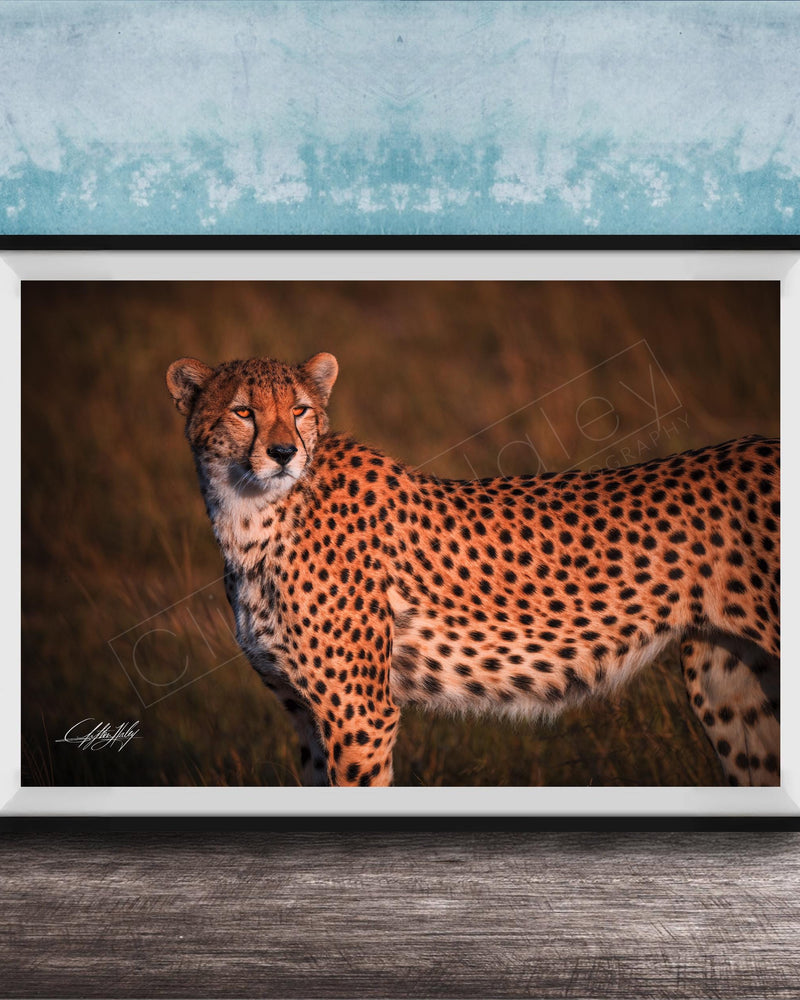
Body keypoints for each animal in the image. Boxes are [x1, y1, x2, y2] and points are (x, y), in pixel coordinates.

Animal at [166, 351, 780, 787]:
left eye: (299, 410)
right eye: (243, 411)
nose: (283, 452)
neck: (248, 515)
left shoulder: (360, 716)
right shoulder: (307, 716)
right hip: (730, 687)